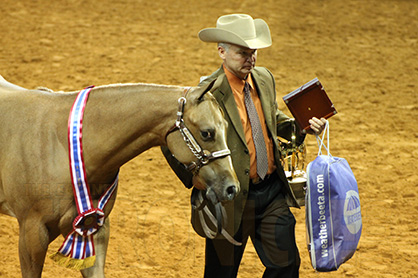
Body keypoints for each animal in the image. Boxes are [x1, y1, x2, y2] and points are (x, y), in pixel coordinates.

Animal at [0, 75, 238, 276]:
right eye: (207, 133)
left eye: (226, 127)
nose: (231, 187)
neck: (61, 146)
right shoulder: (32, 233)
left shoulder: (94, 229)